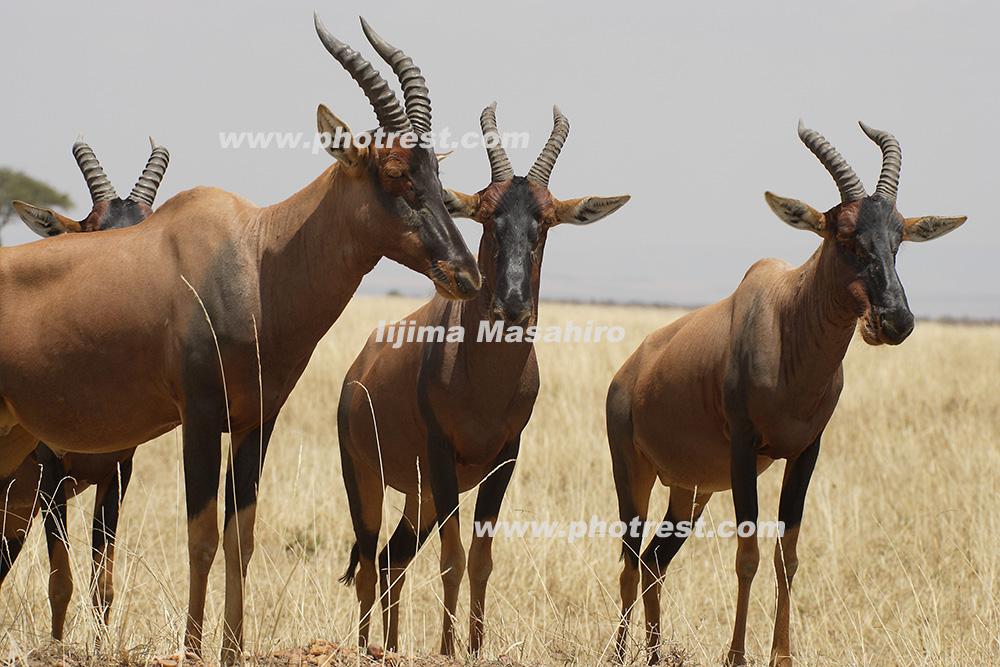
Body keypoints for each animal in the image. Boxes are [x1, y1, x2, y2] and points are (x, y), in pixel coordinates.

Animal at [340, 102, 628, 656]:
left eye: (545, 222)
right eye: (487, 218)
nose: (512, 306)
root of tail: (356, 370)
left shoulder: (504, 458)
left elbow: (481, 560)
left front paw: (472, 647)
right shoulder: (441, 455)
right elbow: (452, 560)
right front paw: (448, 649)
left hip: (422, 497)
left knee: (392, 561)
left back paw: (389, 645)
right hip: (366, 478)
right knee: (367, 564)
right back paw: (364, 647)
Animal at [604, 121, 964, 667]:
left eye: (899, 237)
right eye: (844, 237)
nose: (895, 321)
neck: (788, 321)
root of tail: (627, 372)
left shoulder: (805, 453)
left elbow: (786, 555)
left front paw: (782, 655)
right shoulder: (743, 450)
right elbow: (747, 555)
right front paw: (736, 655)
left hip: (689, 490)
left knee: (652, 563)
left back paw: (653, 653)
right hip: (634, 474)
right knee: (628, 560)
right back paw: (622, 653)